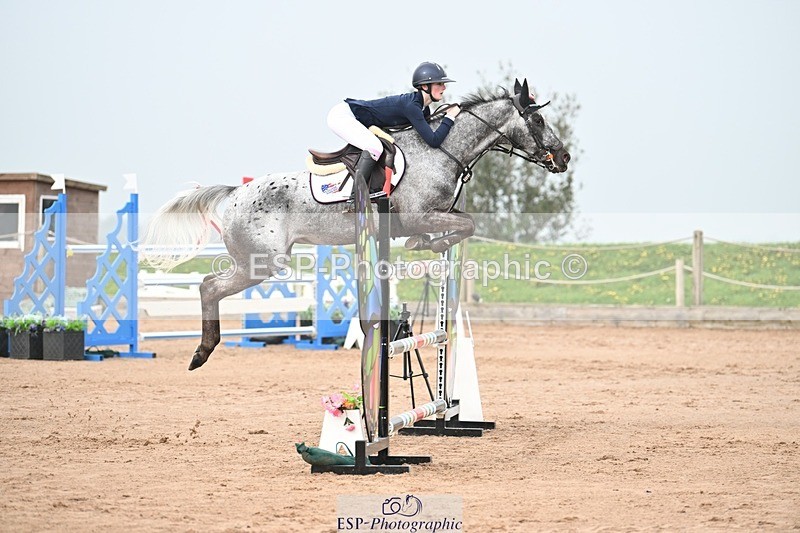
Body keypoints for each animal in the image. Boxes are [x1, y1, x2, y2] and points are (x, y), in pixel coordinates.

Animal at [142, 78, 570, 370]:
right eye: (537, 118)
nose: (563, 157)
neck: (440, 150)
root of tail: (235, 193)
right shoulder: (416, 214)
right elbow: (463, 226)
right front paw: (427, 244)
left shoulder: (431, 214)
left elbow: (465, 224)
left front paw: (425, 243)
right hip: (262, 262)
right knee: (209, 285)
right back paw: (201, 352)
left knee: (209, 285)